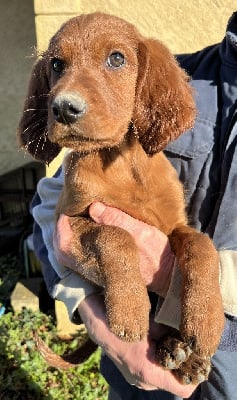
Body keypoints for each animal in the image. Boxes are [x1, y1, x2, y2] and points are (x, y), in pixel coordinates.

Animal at [17, 12, 223, 384]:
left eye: (116, 58)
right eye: (56, 64)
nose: (64, 108)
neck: (120, 163)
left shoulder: (174, 225)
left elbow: (202, 245)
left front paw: (205, 321)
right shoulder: (69, 219)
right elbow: (114, 235)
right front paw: (130, 309)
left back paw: (182, 353)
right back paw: (173, 350)